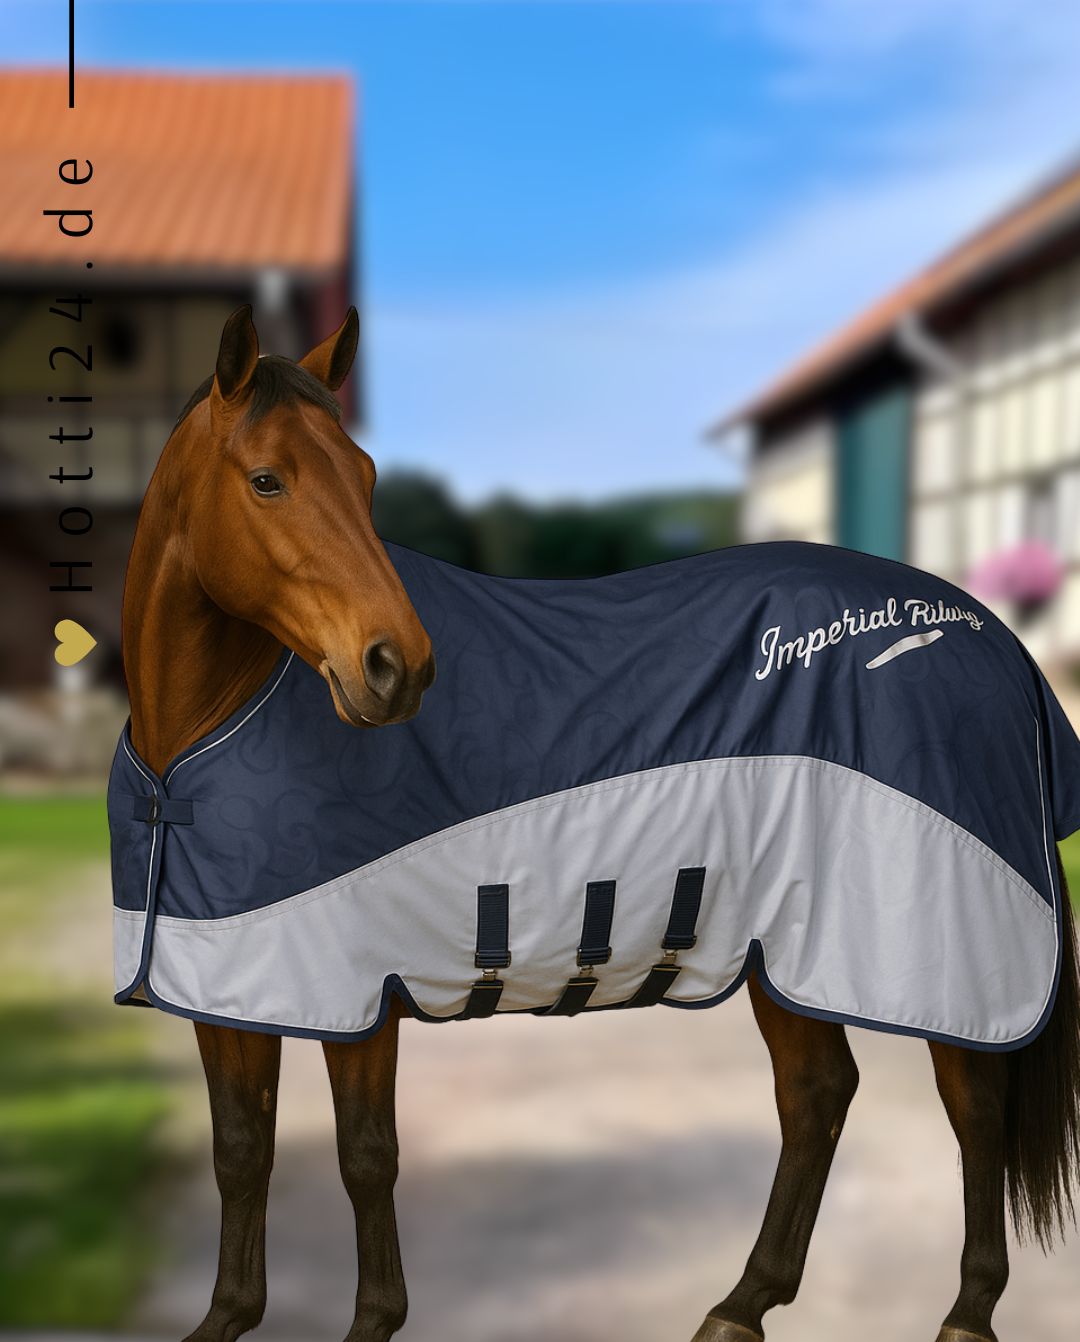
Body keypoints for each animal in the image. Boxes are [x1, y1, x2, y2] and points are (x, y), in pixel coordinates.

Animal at [115, 305, 1080, 1342]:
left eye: (365, 476)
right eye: (267, 478)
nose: (396, 667)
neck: (191, 751)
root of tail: (996, 645)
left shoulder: (355, 990)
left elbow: (365, 1155)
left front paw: (372, 1321)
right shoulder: (228, 978)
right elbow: (241, 1148)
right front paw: (227, 1316)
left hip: (939, 939)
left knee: (972, 1104)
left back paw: (966, 1312)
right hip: (788, 949)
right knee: (817, 1095)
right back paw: (742, 1304)